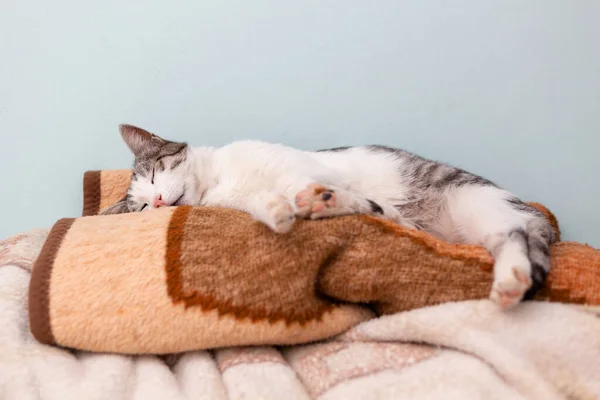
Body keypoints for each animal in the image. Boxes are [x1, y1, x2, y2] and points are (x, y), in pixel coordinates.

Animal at [103, 124, 556, 310]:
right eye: (141, 208)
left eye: (156, 171)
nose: (158, 201)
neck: (219, 182)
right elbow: (271, 203)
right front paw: (281, 211)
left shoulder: (304, 168)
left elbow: (308, 182)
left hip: (480, 203)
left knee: (516, 236)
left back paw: (511, 278)